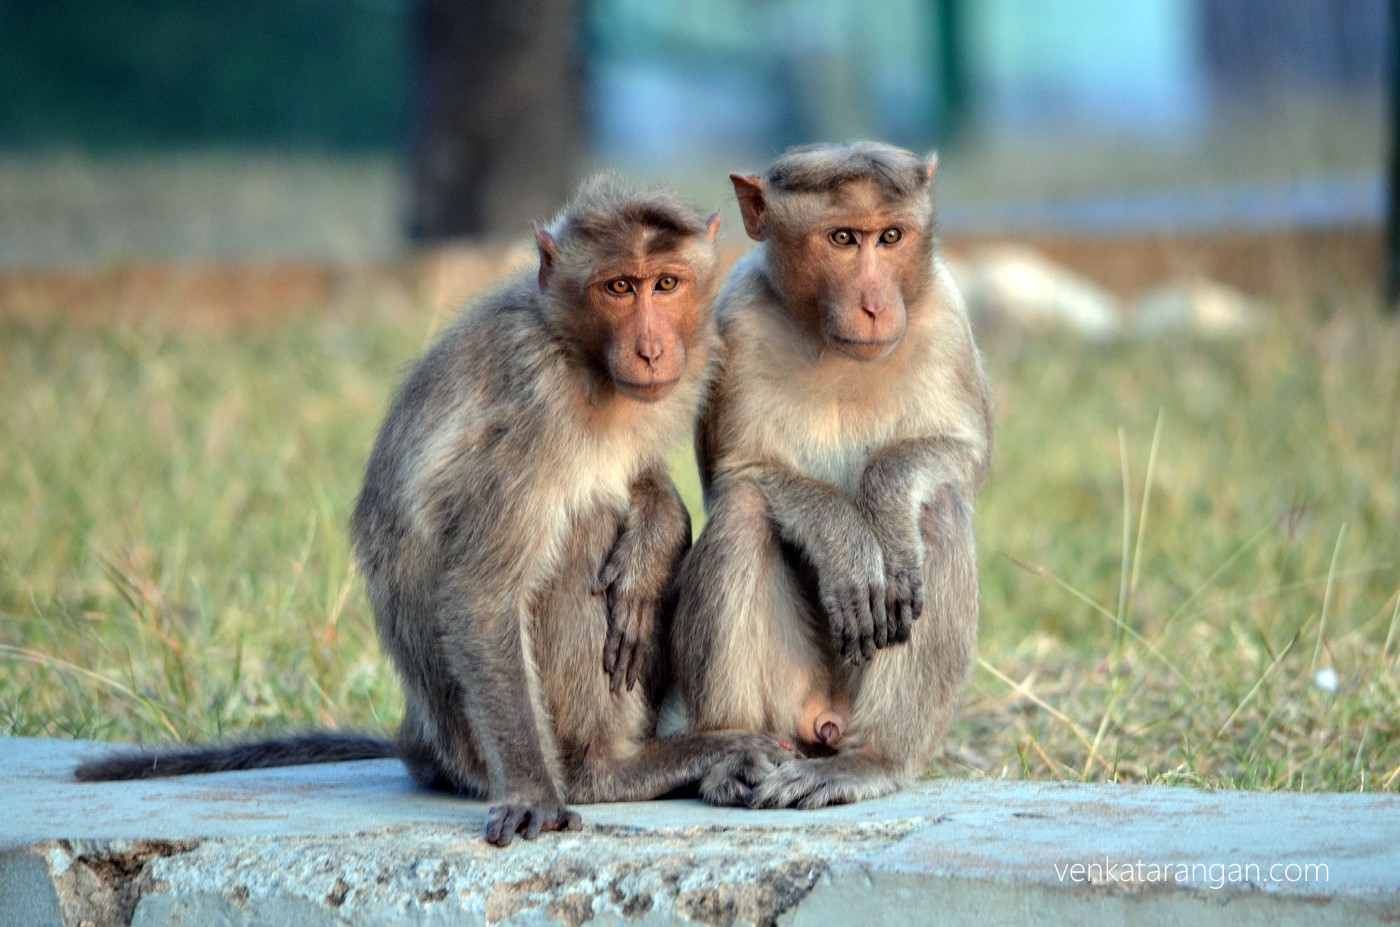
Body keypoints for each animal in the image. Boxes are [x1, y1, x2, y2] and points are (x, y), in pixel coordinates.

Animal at [75, 176, 793, 846]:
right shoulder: (537, 411)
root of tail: (420, 741)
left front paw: (657, 527)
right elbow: (482, 592)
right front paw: (533, 791)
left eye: (666, 284)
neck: (578, 352)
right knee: (582, 531)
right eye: (619, 287)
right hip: (473, 746)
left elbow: (635, 481)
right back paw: (609, 767)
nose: (650, 349)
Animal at [670, 141, 993, 810]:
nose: (874, 304)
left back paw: (871, 760)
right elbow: (736, 474)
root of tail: (827, 721)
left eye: (890, 236)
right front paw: (845, 541)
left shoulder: (947, 316)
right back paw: (732, 754)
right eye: (843, 238)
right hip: (790, 695)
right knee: (744, 512)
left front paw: (886, 509)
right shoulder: (736, 321)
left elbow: (965, 456)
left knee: (940, 511)